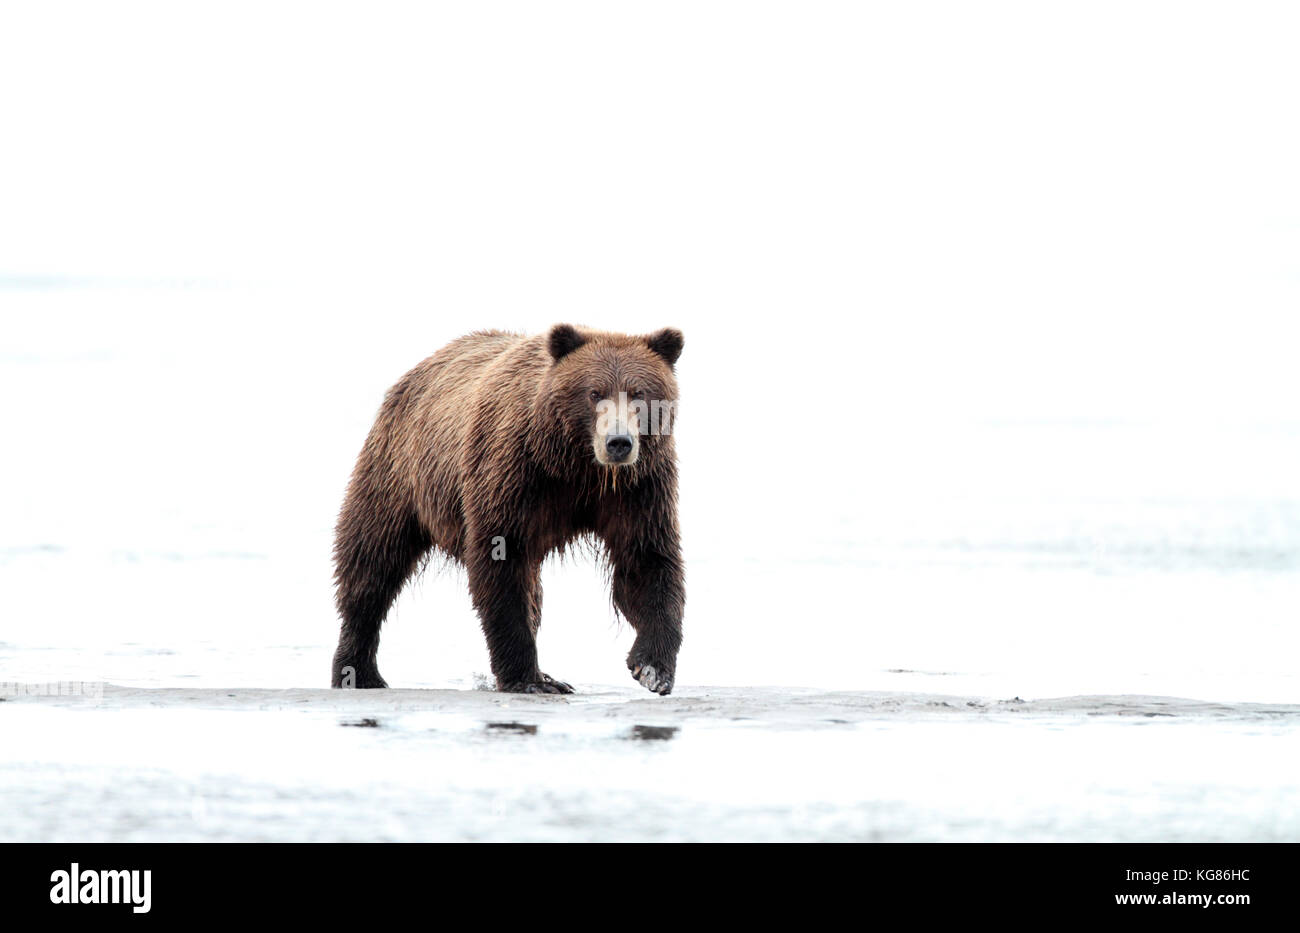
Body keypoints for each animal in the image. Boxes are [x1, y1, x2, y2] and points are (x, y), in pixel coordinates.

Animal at [330, 327, 686, 696]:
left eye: (639, 393)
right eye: (594, 392)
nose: (619, 442)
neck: (578, 467)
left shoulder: (638, 488)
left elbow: (645, 561)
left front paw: (653, 668)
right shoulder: (511, 472)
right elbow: (501, 565)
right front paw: (524, 677)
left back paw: (552, 677)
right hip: (398, 471)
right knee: (372, 559)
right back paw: (358, 671)